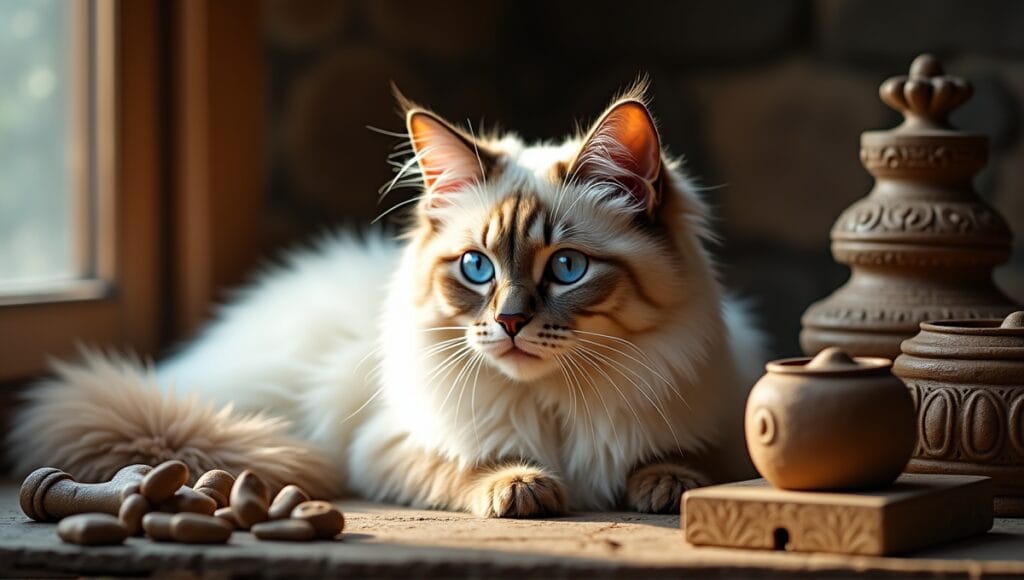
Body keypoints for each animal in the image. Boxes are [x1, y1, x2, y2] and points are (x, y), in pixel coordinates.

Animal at [9, 85, 761, 518]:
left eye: (567, 268)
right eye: (477, 268)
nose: (510, 322)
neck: (556, 403)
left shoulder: (719, 423)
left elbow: (681, 460)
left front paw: (664, 482)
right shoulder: (384, 446)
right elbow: (468, 463)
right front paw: (520, 485)